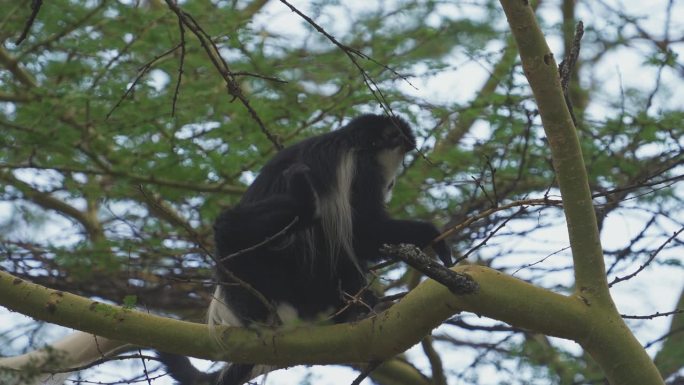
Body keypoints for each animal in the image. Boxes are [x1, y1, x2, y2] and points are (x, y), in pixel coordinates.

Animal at [159, 113, 454, 384]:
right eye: (399, 152)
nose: (392, 182)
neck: (351, 141)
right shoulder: (362, 169)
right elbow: (364, 232)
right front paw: (432, 235)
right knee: (238, 227)